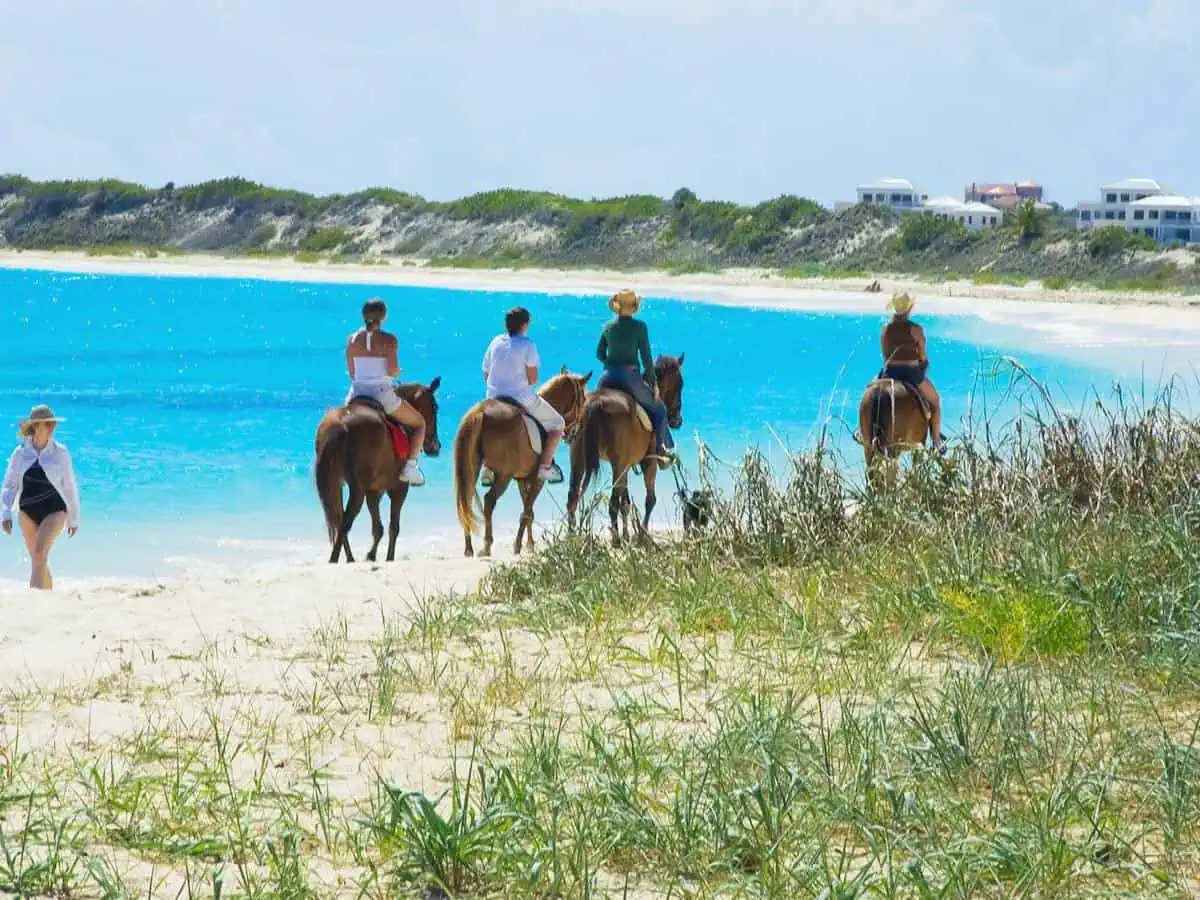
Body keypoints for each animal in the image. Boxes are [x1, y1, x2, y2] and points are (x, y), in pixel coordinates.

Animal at [316, 379, 444, 564]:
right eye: (435, 407)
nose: (435, 446)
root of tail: (341, 424)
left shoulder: (373, 491)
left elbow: (378, 528)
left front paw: (371, 555)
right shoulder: (399, 489)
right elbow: (393, 527)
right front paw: (389, 558)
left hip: (335, 484)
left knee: (338, 518)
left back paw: (349, 558)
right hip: (357, 490)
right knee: (345, 521)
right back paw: (335, 559)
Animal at [451, 367, 592, 556]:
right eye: (583, 400)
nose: (573, 435)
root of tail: (480, 411)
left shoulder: (522, 479)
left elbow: (529, 511)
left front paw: (530, 544)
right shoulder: (537, 480)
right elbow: (526, 511)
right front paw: (518, 546)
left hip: (471, 468)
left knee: (465, 499)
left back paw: (469, 548)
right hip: (504, 475)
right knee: (489, 500)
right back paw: (487, 544)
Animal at [564, 355, 686, 547]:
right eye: (680, 383)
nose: (677, 420)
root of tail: (597, 401)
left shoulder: (626, 467)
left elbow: (626, 503)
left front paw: (628, 535)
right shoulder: (648, 462)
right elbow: (649, 500)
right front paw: (642, 536)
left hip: (579, 459)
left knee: (572, 499)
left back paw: (572, 539)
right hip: (618, 464)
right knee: (612, 503)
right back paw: (615, 540)